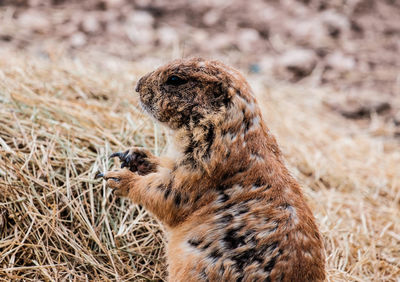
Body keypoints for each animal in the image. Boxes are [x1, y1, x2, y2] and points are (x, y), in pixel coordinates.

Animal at [98, 57, 326, 282]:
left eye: (174, 79)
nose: (137, 86)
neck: (232, 132)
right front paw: (133, 156)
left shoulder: (203, 167)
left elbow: (168, 194)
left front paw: (118, 178)